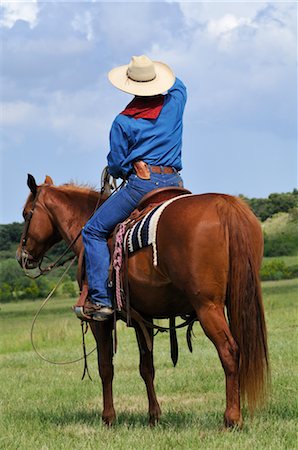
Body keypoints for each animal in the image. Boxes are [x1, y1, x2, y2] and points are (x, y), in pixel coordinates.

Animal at [16, 174, 268, 428]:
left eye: (27, 214)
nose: (21, 256)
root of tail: (226, 206)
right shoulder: (142, 318)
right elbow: (147, 367)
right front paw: (154, 415)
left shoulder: (100, 322)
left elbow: (105, 367)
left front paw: (108, 417)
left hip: (208, 307)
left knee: (229, 351)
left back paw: (231, 418)